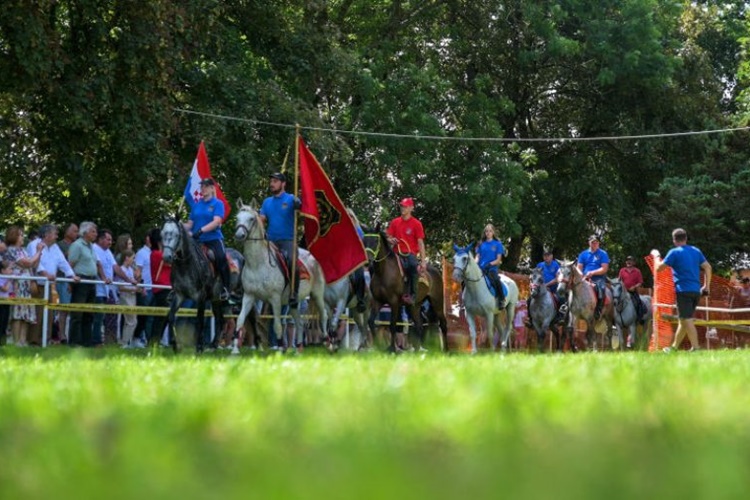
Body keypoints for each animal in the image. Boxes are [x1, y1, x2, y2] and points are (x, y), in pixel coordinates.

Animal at [162, 217, 226, 354]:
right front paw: (175, 345)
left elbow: (199, 320)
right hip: (215, 299)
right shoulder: (179, 296)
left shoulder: (200, 297)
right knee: (220, 319)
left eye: (177, 235)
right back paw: (213, 345)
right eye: (162, 233)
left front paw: (199, 347)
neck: (186, 264)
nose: (167, 257)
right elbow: (171, 317)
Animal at [234, 201, 328, 354]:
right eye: (237, 218)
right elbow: (240, 319)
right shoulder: (249, 296)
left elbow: (277, 325)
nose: (239, 235)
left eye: (251, 219)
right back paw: (298, 349)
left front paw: (279, 350)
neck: (258, 264)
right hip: (294, 303)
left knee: (324, 315)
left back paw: (327, 342)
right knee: (299, 323)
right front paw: (235, 350)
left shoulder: (275, 298)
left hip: (317, 294)